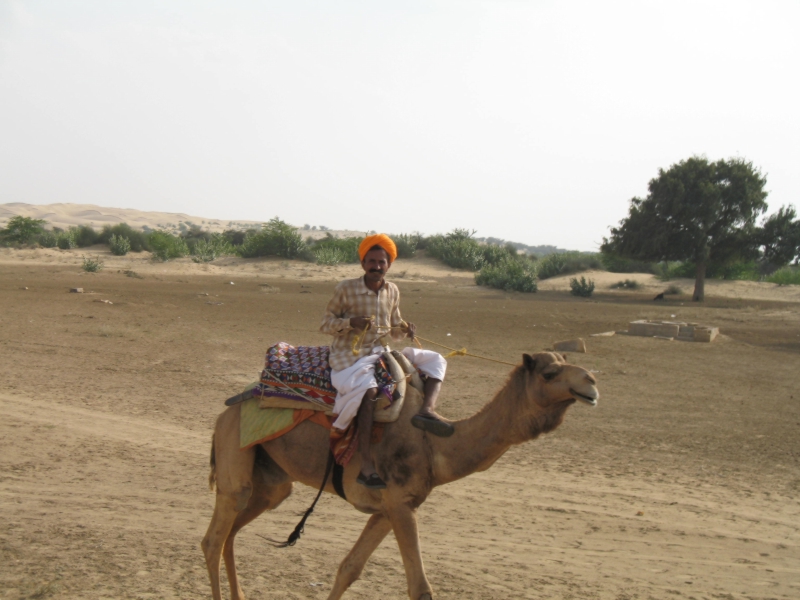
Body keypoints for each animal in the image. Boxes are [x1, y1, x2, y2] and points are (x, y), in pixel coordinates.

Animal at [203, 352, 596, 600]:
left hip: (273, 483)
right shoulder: (401, 504)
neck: (435, 444)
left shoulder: (388, 509)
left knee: (232, 533)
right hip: (235, 452)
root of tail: (227, 409)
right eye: (549, 373)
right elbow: (420, 588)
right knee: (214, 538)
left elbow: (349, 568)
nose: (591, 381)